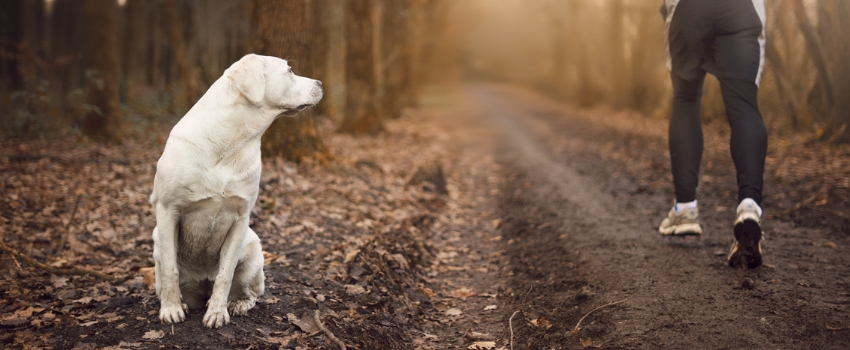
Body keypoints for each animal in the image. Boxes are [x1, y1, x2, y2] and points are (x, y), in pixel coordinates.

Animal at [149, 54, 322, 328]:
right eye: (290, 71)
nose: (320, 83)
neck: (230, 142)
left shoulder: (240, 219)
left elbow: (225, 273)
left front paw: (218, 312)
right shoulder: (167, 210)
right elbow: (170, 269)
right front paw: (171, 309)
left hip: (253, 251)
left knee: (251, 293)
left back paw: (238, 304)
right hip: (157, 241)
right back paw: (182, 303)